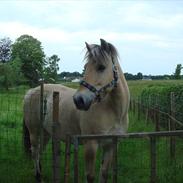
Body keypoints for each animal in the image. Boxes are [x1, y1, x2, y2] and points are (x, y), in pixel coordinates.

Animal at [23, 38, 130, 182]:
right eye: (85, 67)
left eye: (101, 67)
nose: (79, 100)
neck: (113, 112)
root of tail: (31, 91)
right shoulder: (90, 145)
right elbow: (90, 176)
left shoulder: (110, 145)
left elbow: (104, 173)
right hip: (34, 131)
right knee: (34, 151)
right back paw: (38, 177)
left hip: (45, 133)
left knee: (40, 151)